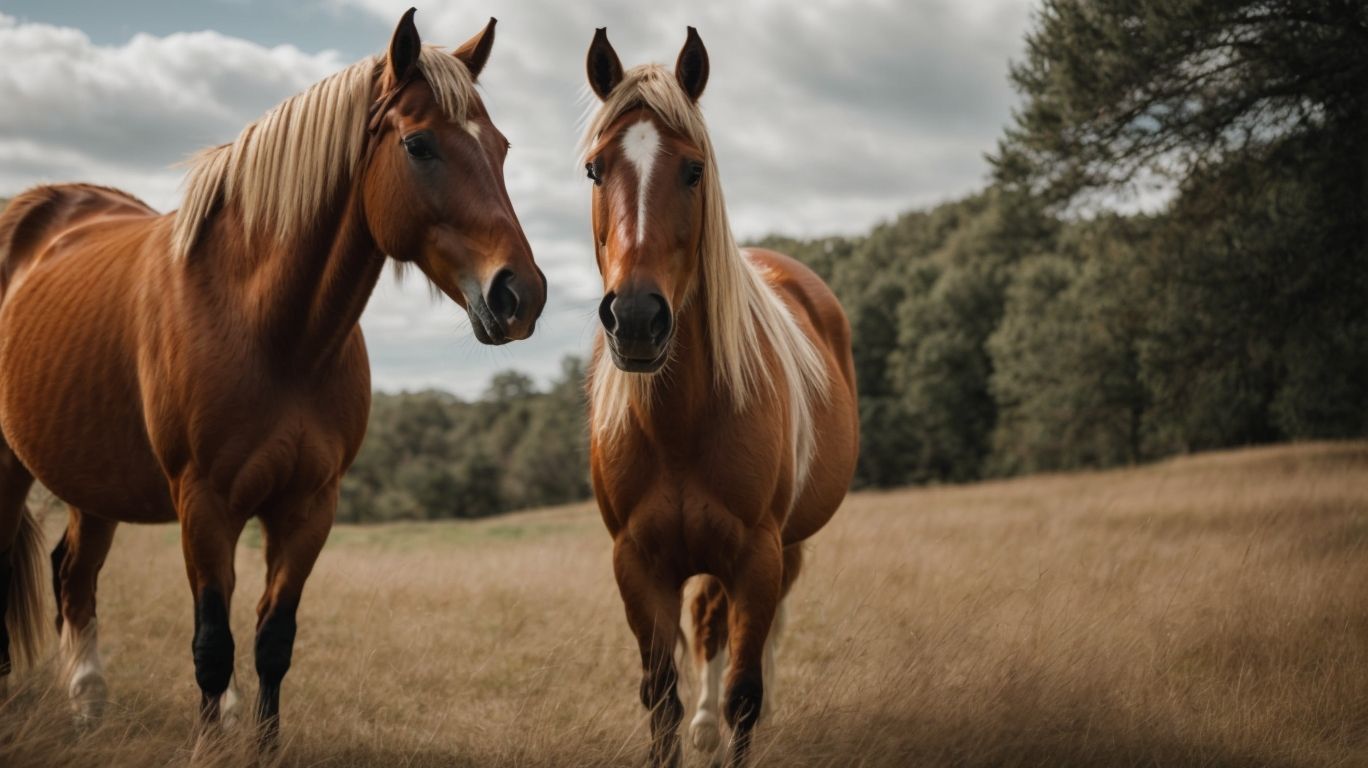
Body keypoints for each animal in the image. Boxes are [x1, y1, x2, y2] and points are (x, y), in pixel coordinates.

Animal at [0, 8, 545, 749]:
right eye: (420, 146)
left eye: (503, 147)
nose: (522, 295)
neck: (269, 332)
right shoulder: (204, 504)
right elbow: (212, 641)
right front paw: (209, 746)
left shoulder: (308, 505)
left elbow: (272, 639)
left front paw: (261, 744)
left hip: (93, 480)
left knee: (73, 576)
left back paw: (88, 704)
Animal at [581, 27, 859, 768]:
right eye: (594, 170)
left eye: (693, 170)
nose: (636, 318)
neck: (680, 425)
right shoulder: (637, 564)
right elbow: (661, 700)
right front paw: (693, 724)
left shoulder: (759, 557)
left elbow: (746, 691)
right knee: (707, 626)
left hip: (786, 545)